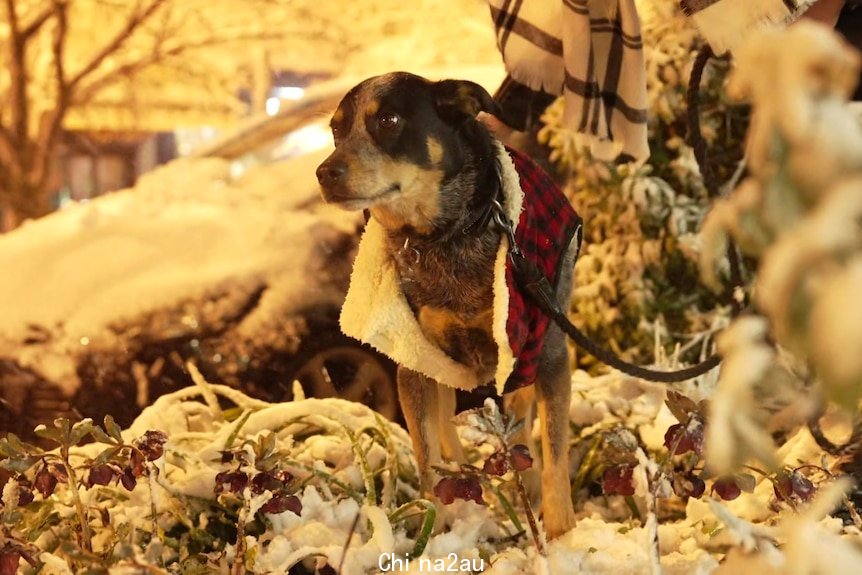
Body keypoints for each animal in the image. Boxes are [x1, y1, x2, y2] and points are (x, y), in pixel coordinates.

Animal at [318, 72, 580, 540]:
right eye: (336, 130)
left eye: (388, 120)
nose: (324, 173)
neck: (447, 238)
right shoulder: (414, 363)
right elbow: (427, 458)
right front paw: (431, 530)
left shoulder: (546, 354)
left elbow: (553, 452)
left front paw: (562, 532)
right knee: (446, 432)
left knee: (521, 421)